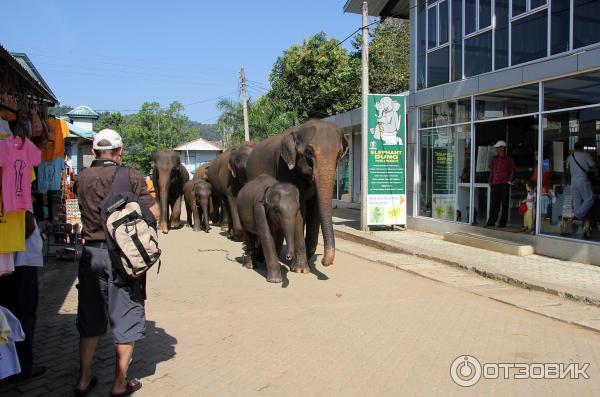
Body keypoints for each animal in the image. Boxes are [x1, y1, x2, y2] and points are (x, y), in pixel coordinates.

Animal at [245, 119, 346, 270]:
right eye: (309, 152)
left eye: (339, 154)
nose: (323, 261)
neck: (298, 129)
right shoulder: (285, 170)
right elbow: (299, 211)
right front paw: (300, 269)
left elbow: (315, 211)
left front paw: (304, 262)